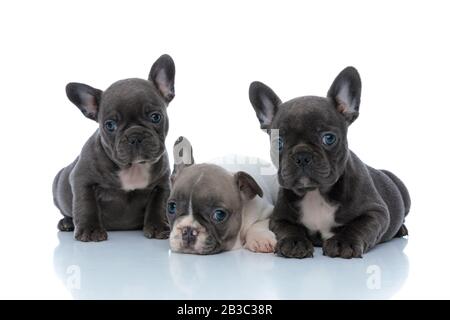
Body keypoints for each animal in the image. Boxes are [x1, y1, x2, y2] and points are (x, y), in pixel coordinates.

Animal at [52, 53, 176, 241]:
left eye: (155, 117)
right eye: (110, 125)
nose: (135, 137)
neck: (133, 168)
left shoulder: (162, 184)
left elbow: (158, 205)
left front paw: (158, 227)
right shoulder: (82, 179)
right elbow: (85, 204)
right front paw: (90, 230)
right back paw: (66, 223)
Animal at [250, 66, 412, 258]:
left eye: (329, 138)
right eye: (278, 142)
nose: (302, 156)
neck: (315, 193)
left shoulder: (376, 213)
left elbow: (358, 226)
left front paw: (343, 242)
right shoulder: (279, 218)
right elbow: (289, 228)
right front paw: (294, 242)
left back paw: (401, 229)